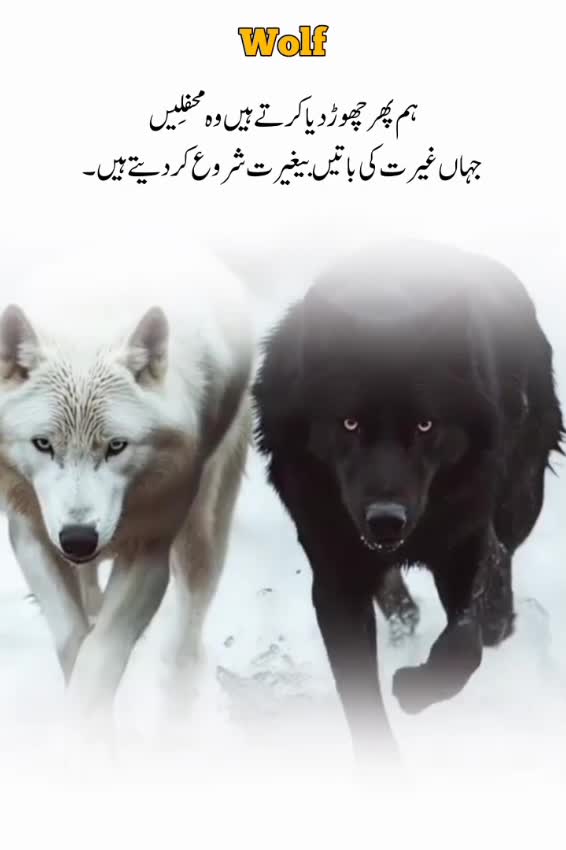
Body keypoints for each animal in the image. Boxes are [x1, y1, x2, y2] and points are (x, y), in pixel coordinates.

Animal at [0, 250, 254, 726]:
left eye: (116, 446)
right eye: (43, 444)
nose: (79, 539)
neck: (90, 318)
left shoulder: (149, 550)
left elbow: (100, 655)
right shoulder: (32, 535)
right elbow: (74, 639)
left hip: (203, 528)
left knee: (189, 625)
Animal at [253, 240, 563, 757]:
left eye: (425, 424)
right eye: (349, 423)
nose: (387, 519)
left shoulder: (462, 543)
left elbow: (465, 643)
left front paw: (414, 690)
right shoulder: (335, 573)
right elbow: (360, 696)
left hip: (520, 498)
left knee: (501, 558)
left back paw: (497, 615)